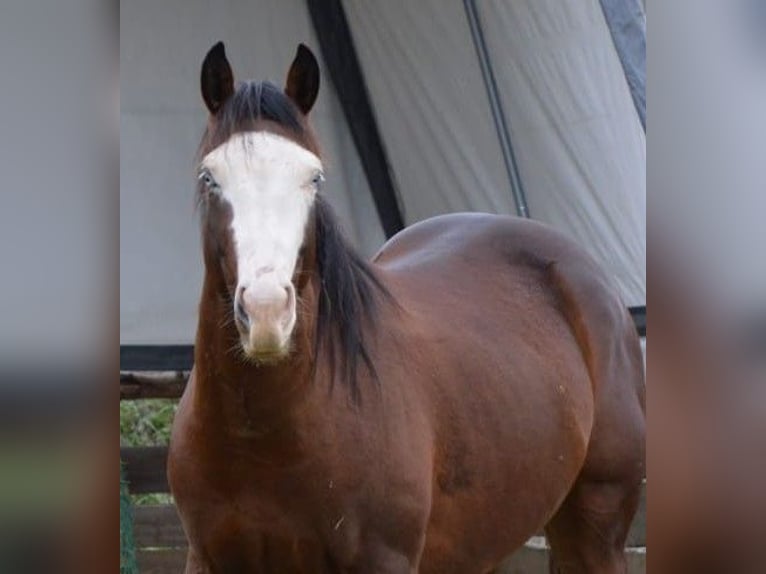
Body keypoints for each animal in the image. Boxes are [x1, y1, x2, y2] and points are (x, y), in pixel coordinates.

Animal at [167, 42, 645, 574]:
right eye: (210, 178)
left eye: (315, 178)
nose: (267, 312)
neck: (263, 440)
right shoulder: (206, 558)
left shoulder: (384, 559)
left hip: (597, 524)